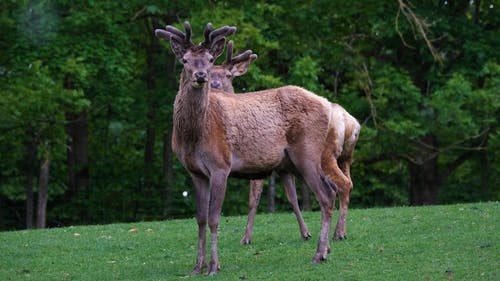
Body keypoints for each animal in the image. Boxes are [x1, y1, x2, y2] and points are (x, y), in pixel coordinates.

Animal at [209, 40, 362, 243]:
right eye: (209, 73)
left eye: (228, 75)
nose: (214, 84)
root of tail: (350, 122)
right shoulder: (282, 167)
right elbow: (292, 197)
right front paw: (305, 232)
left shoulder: (258, 160)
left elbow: (254, 197)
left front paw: (246, 238)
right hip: (346, 157)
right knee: (349, 183)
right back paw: (339, 230)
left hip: (324, 155)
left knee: (343, 185)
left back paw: (339, 233)